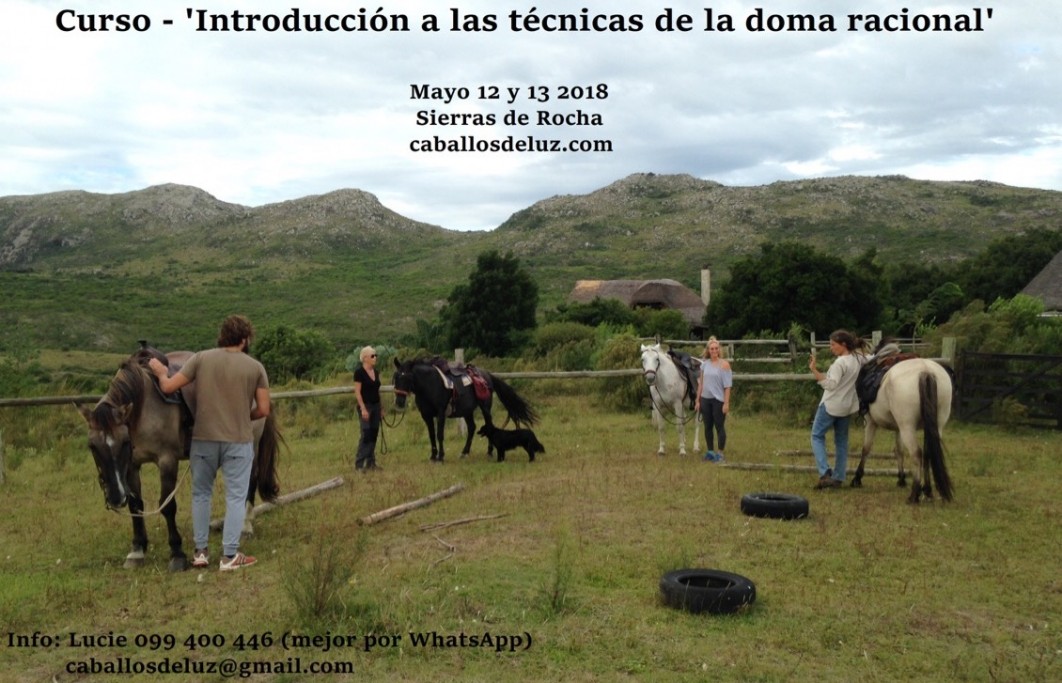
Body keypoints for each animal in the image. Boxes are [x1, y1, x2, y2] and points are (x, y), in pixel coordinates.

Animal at [392, 357, 538, 463]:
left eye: (408, 377)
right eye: (396, 377)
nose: (399, 402)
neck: (429, 384)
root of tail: (487, 375)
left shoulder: (440, 413)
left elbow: (439, 434)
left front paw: (440, 457)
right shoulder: (426, 415)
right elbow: (431, 435)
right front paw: (433, 456)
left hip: (485, 407)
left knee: (489, 424)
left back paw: (489, 452)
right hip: (467, 411)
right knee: (472, 428)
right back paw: (464, 452)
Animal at [850, 350, 954, 504]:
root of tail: (926, 371)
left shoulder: (870, 423)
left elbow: (866, 449)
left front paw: (857, 478)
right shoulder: (898, 429)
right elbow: (899, 451)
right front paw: (901, 479)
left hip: (907, 427)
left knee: (917, 453)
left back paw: (914, 494)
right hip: (936, 426)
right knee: (928, 453)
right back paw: (927, 491)